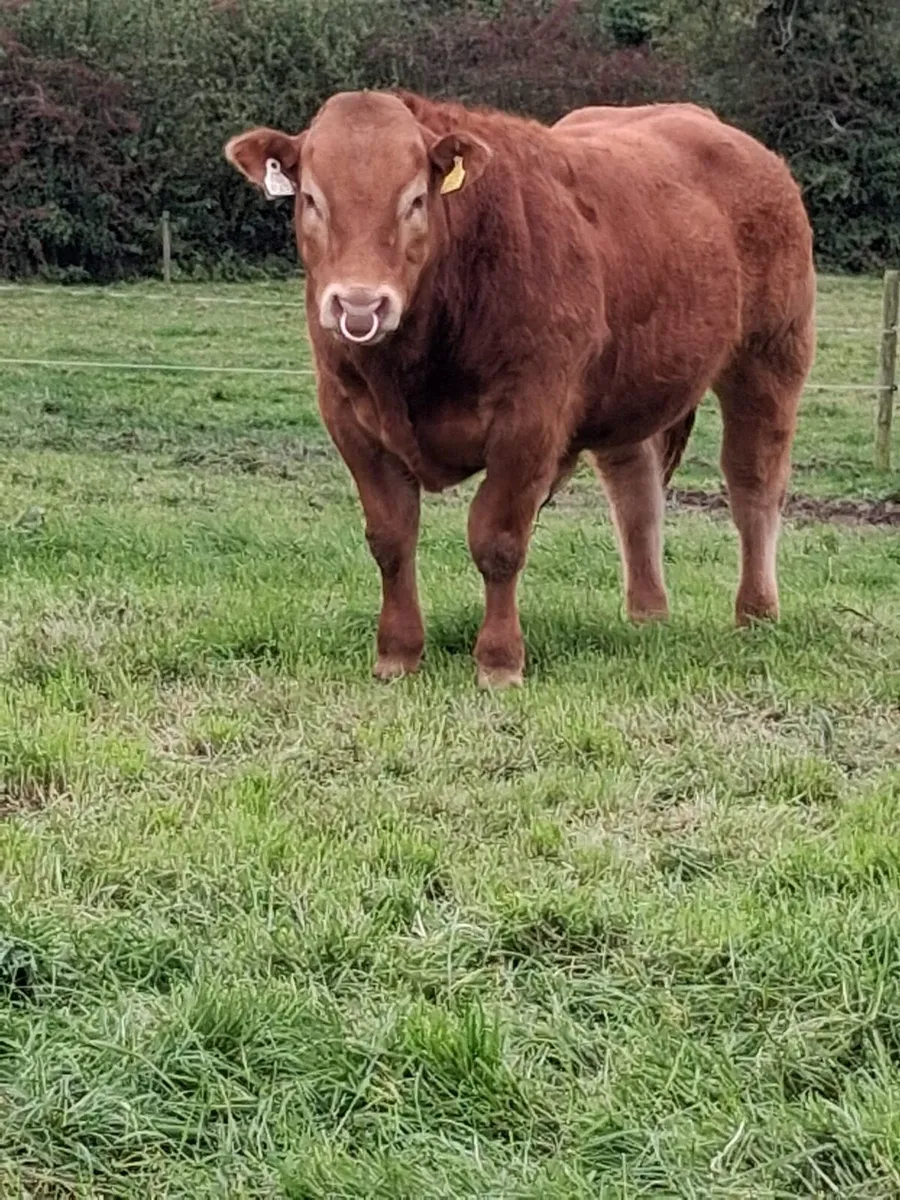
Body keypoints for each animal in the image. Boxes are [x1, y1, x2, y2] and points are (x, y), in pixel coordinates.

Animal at [224, 89, 815, 687]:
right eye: (312, 200)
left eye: (415, 200)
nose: (360, 304)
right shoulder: (349, 417)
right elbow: (391, 538)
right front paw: (397, 654)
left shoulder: (530, 416)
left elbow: (498, 540)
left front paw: (499, 661)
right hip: (633, 383)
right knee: (636, 491)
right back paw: (647, 614)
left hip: (771, 354)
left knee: (753, 481)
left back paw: (756, 613)